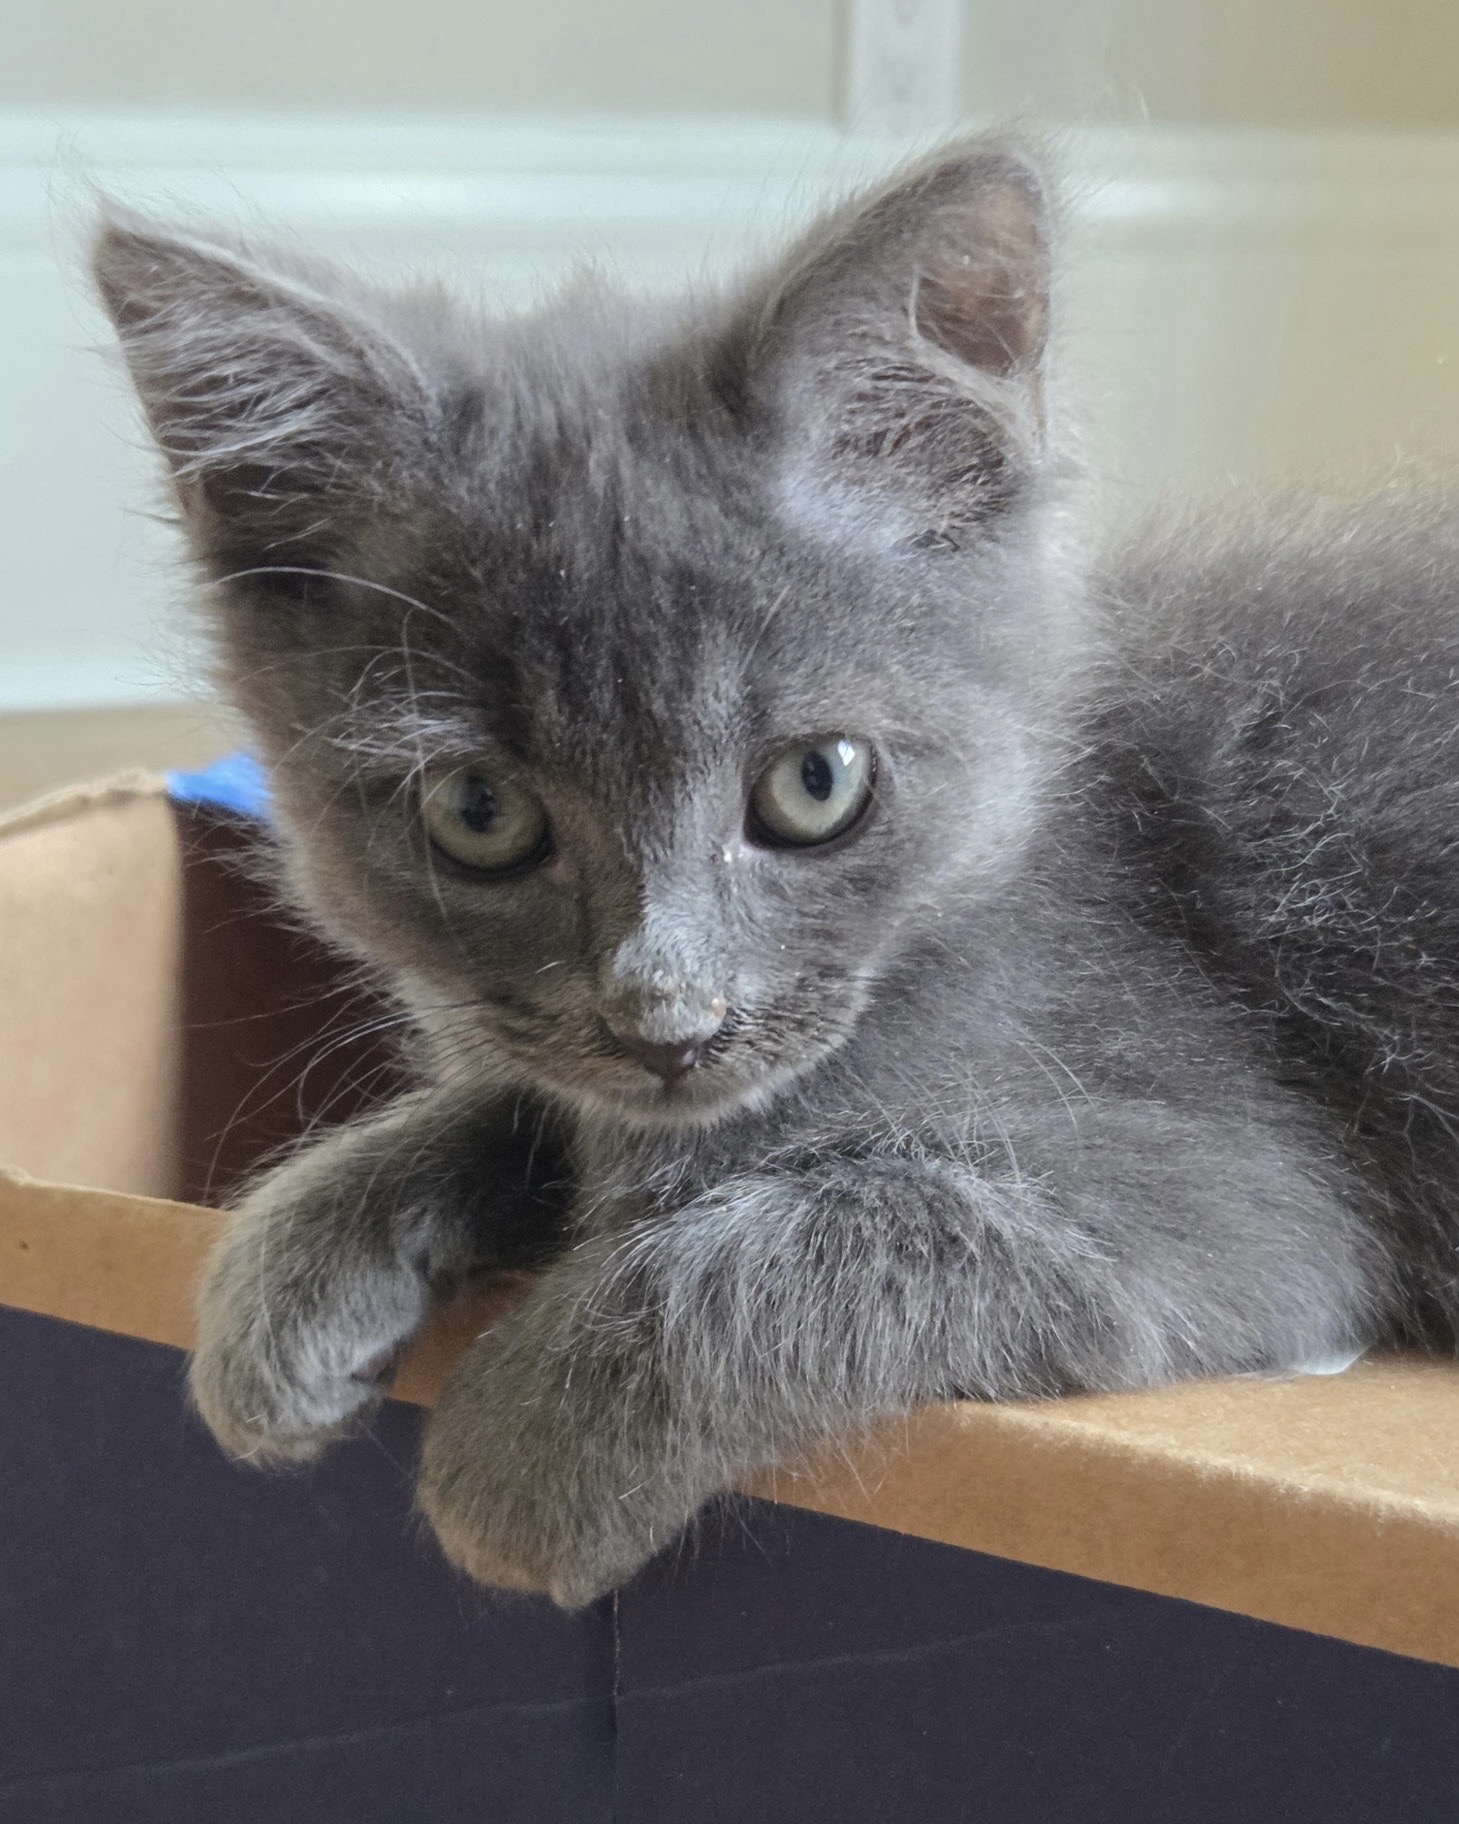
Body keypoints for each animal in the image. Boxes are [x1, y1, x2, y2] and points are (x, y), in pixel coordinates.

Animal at [91, 134, 1459, 1606]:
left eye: (815, 783)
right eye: (478, 812)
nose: (667, 1021)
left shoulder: (1240, 1198)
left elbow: (857, 1219)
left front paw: (530, 1443)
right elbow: (515, 1108)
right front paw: (290, 1271)